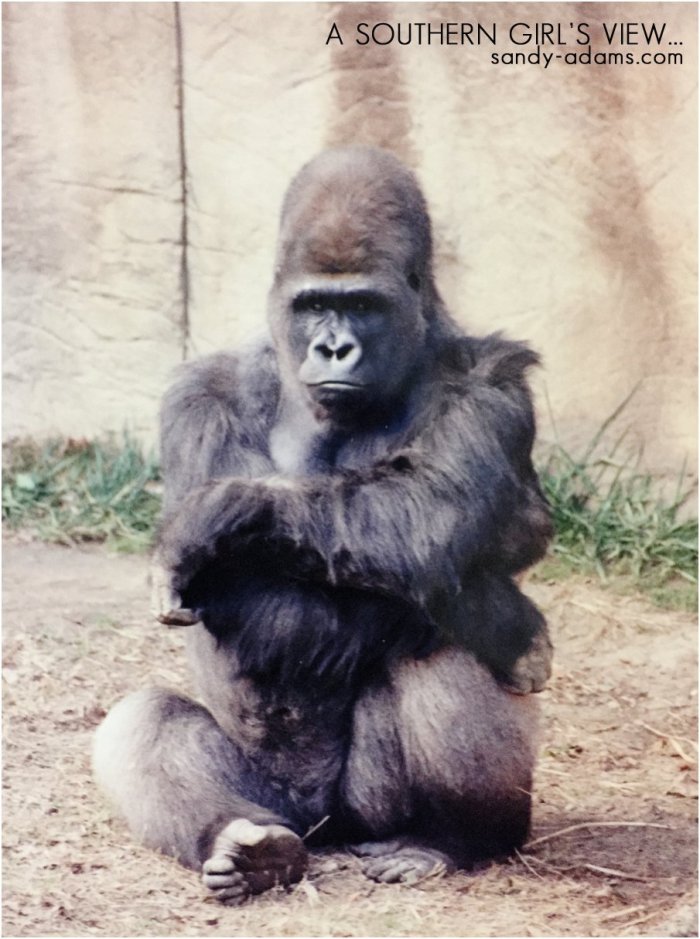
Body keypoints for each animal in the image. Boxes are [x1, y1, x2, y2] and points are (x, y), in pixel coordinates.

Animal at [93, 146, 552, 904]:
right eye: (314, 306)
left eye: (362, 305)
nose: (335, 348)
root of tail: (327, 831)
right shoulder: (199, 392)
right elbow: (261, 605)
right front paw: (517, 617)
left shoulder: (491, 379)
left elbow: (431, 525)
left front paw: (223, 511)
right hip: (285, 805)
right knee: (144, 720)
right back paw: (248, 845)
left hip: (370, 811)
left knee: (439, 646)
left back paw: (451, 839)